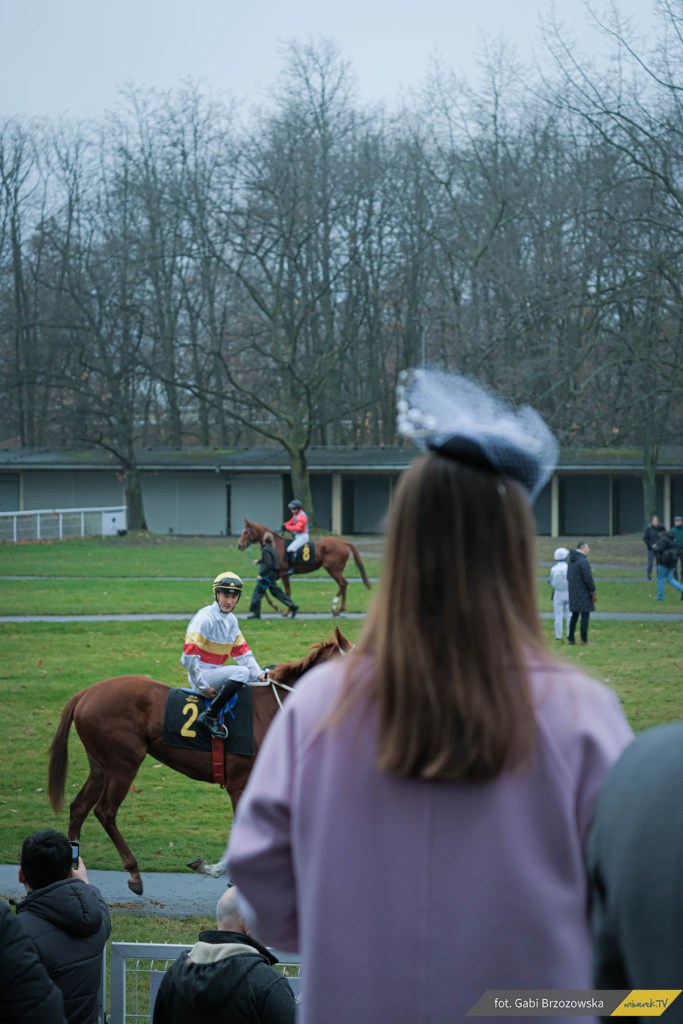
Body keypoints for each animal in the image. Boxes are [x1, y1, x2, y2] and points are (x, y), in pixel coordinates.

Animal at [47, 628, 353, 896]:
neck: (270, 711)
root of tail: (86, 692)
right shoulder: (240, 785)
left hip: (100, 766)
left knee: (79, 808)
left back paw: (73, 870)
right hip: (123, 764)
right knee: (105, 811)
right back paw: (133, 872)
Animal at [237, 519, 372, 614]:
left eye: (245, 532)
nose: (239, 545)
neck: (275, 545)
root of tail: (343, 542)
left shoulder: (284, 574)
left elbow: (287, 591)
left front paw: (288, 611)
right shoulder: (276, 574)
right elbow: (264, 585)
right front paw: (275, 606)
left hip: (332, 569)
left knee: (343, 583)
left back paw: (337, 608)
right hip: (337, 569)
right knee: (343, 584)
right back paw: (337, 608)